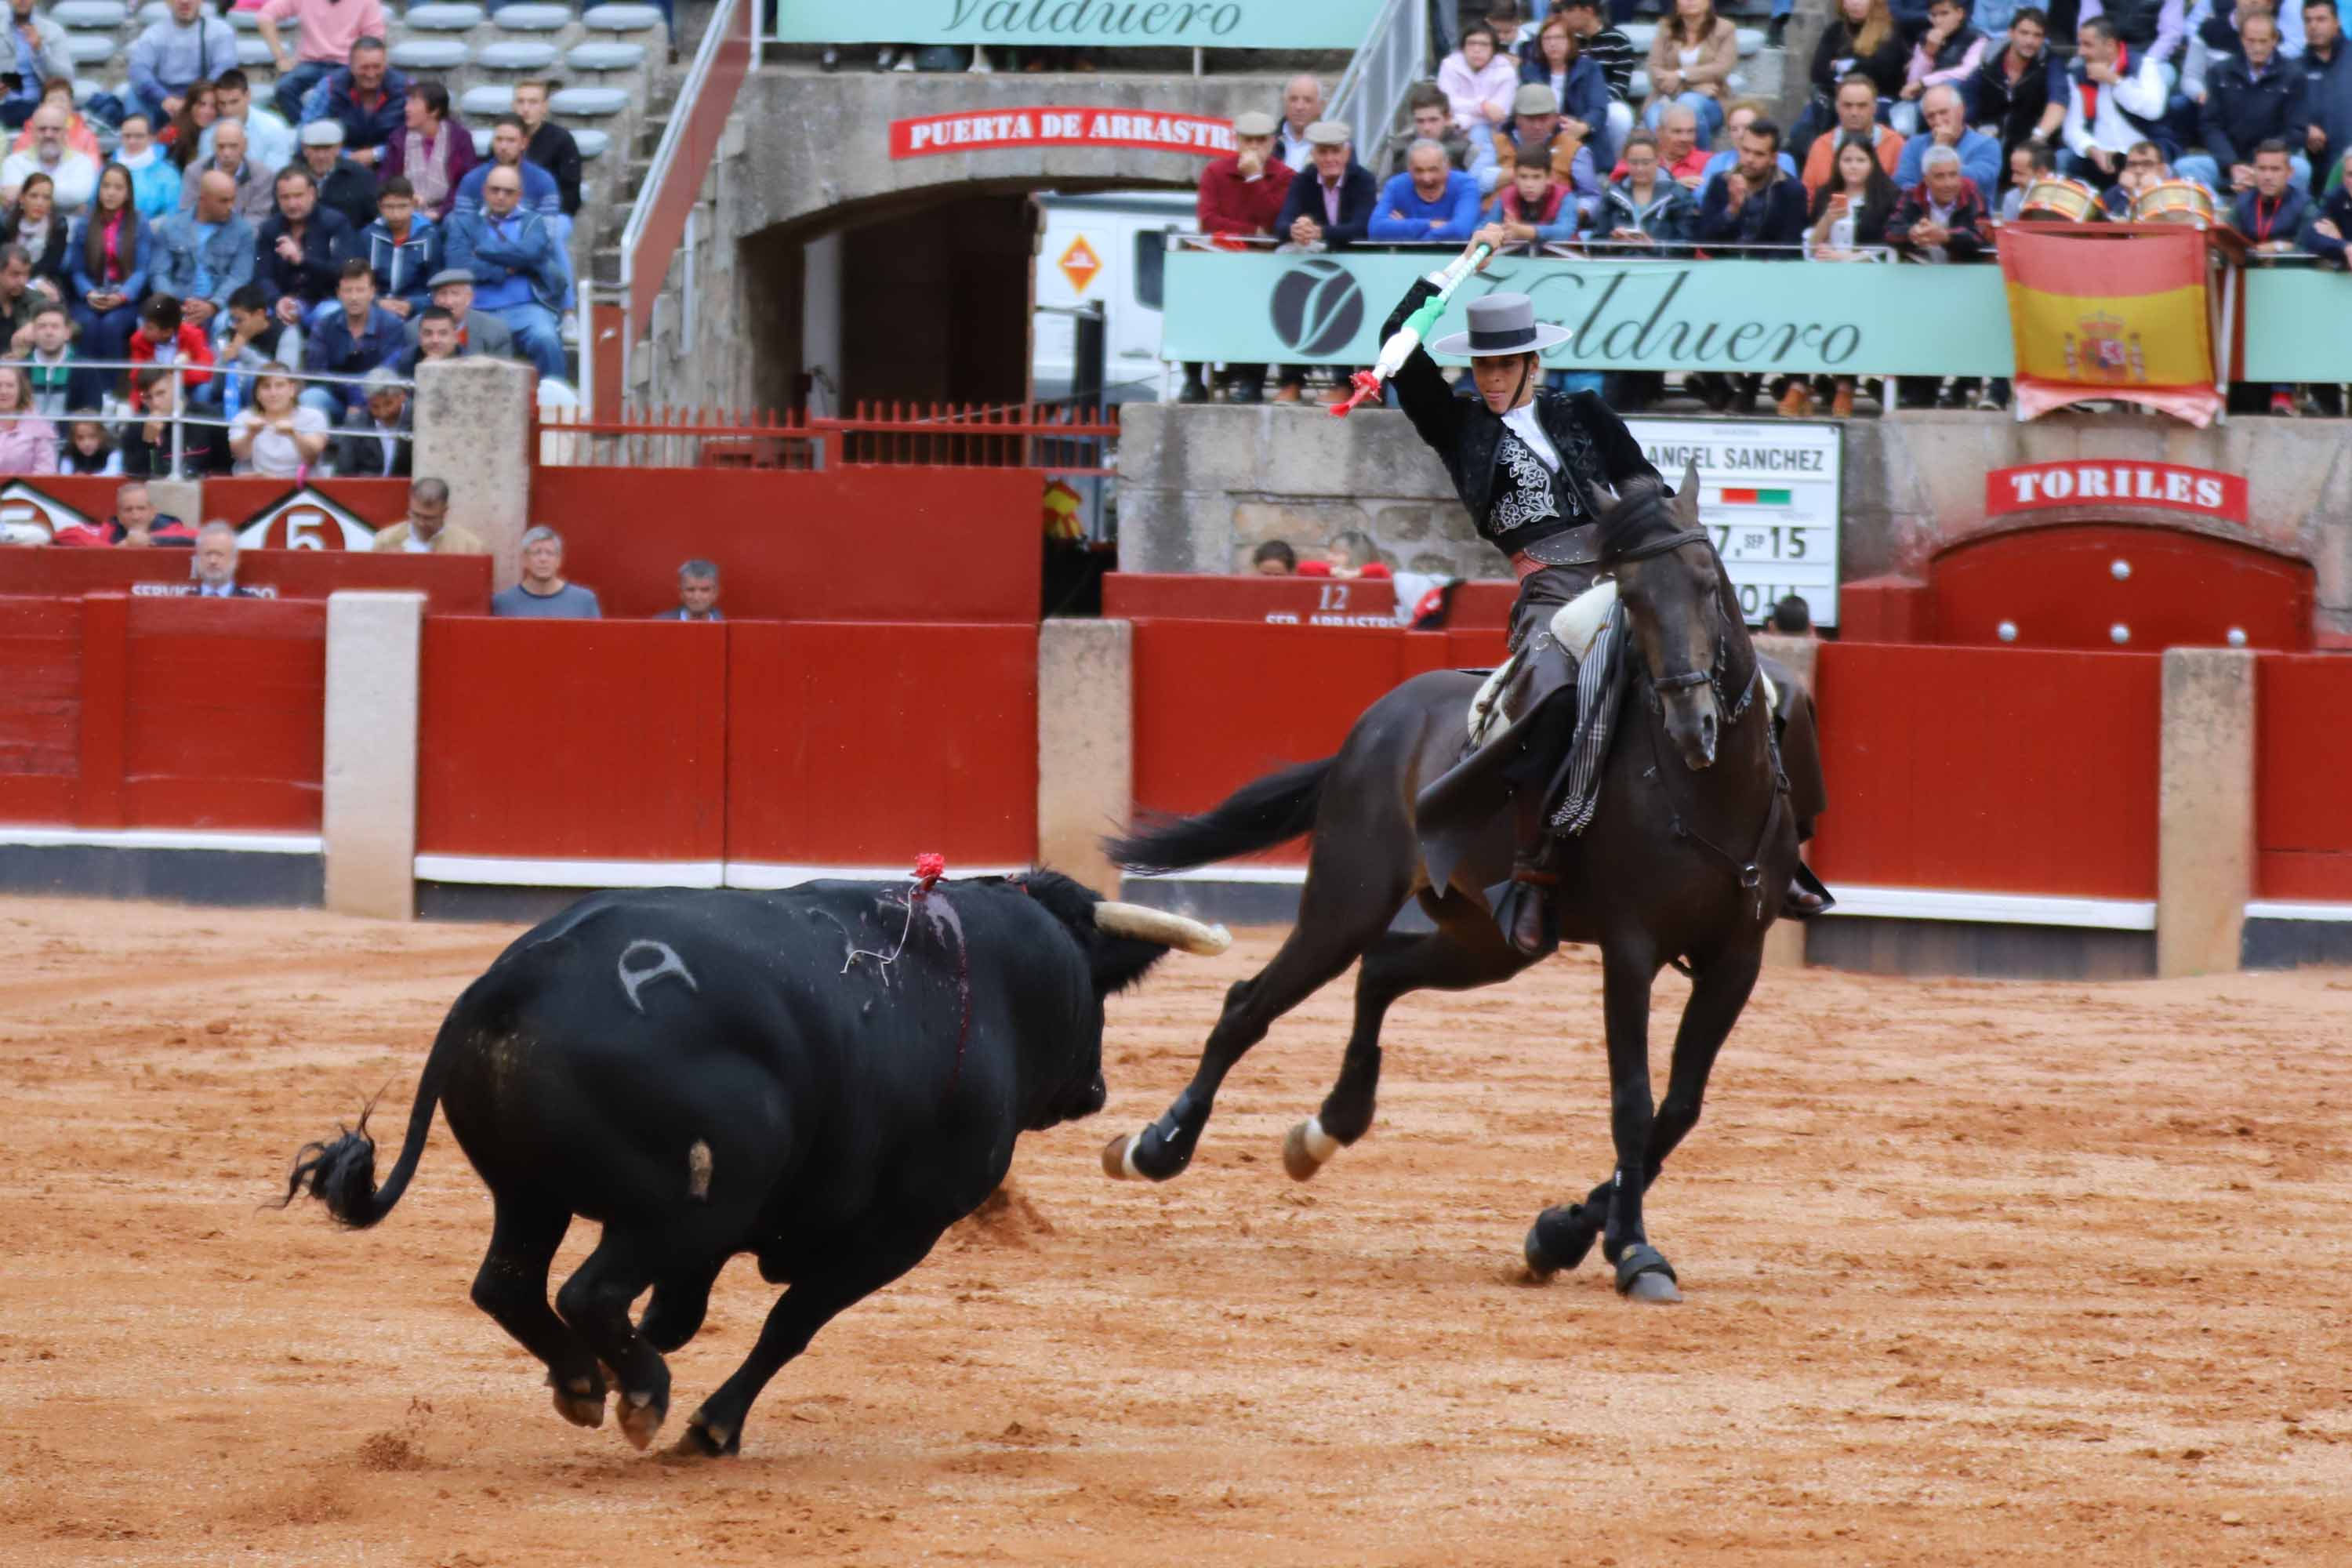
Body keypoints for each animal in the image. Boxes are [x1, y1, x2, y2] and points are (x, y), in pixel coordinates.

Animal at [280, 869, 1232, 1457]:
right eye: (1098, 988)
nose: (1098, 1086)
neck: (992, 972)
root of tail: (507, 981)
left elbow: (687, 1307)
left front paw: (643, 1361)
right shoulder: (905, 1227)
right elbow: (793, 1321)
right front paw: (713, 1427)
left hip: (530, 1193)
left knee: (509, 1284)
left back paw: (584, 1382)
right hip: (686, 1199)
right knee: (588, 1290)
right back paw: (644, 1396)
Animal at [1091, 472, 1788, 1307]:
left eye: (1709, 583)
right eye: (1631, 596)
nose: (1693, 723)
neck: (1703, 791)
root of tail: (1377, 721)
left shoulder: (1740, 956)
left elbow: (1678, 1109)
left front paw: (1562, 1234)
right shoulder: (1630, 948)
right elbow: (1634, 1099)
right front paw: (1633, 1251)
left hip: (1492, 939)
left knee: (1383, 969)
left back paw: (1328, 1127)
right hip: (1346, 900)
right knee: (1249, 1004)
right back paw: (1156, 1147)